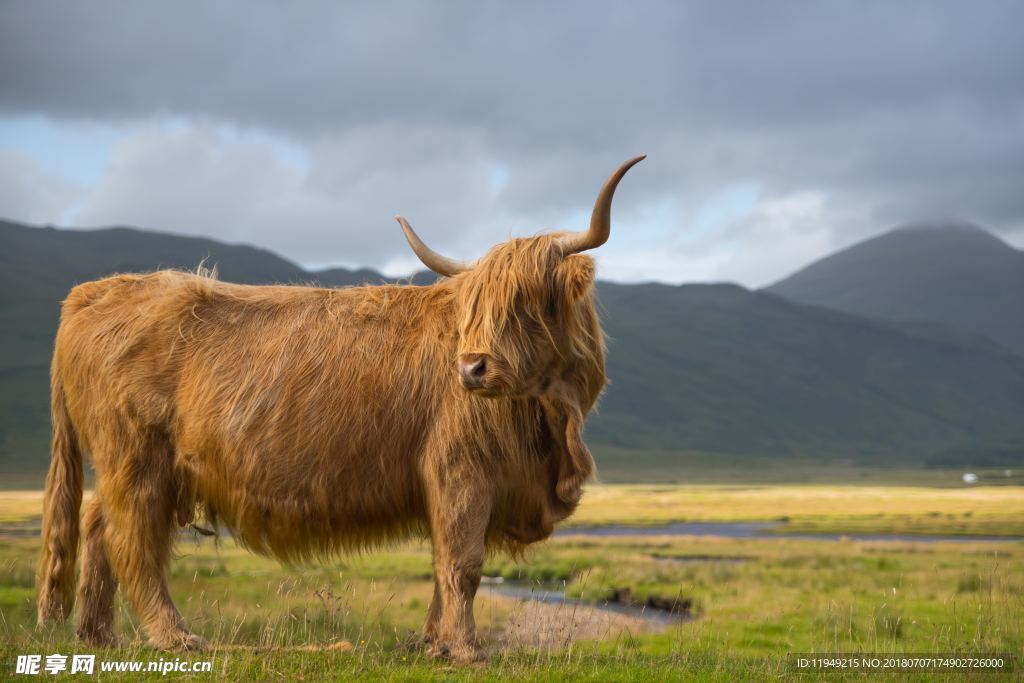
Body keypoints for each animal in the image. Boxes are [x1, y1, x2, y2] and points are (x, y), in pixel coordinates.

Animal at [36, 153, 643, 663]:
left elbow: (441, 565)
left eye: (529, 302)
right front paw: (468, 651)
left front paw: (433, 643)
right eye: (474, 308)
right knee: (134, 543)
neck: (554, 427)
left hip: (127, 464)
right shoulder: (461, 472)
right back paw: (176, 637)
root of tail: (93, 292)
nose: (472, 368)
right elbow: (462, 564)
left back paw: (99, 635)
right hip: (138, 461)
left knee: (97, 525)